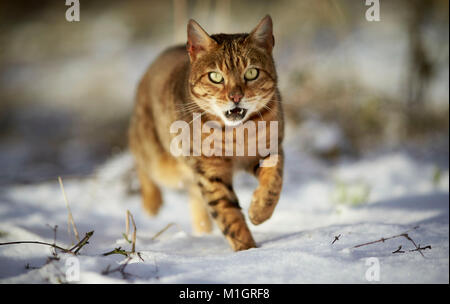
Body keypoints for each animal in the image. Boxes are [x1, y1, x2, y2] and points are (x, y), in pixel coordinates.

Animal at [129, 14, 284, 252]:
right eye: (215, 77)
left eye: (252, 73)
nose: (236, 97)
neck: (236, 133)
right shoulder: (210, 171)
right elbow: (228, 213)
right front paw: (246, 250)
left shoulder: (271, 147)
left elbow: (274, 180)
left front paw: (259, 211)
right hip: (160, 160)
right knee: (137, 154)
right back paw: (151, 203)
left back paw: (202, 231)